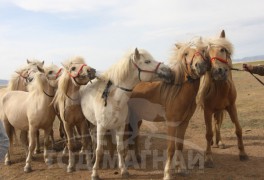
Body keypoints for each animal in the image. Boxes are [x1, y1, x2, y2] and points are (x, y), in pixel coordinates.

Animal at [79, 48, 172, 180]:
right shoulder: (101, 127)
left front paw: (123, 170)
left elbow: (120, 148)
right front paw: (95, 173)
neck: (113, 99)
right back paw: (92, 159)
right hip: (89, 123)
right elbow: (99, 150)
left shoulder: (120, 126)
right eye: (147, 61)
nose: (169, 71)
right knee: (92, 139)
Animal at [127, 39, 209, 180]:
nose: (201, 66)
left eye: (202, 51)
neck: (178, 92)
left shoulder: (184, 123)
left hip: (137, 117)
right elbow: (171, 148)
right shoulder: (171, 123)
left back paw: (137, 158)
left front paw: (181, 169)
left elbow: (179, 145)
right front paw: (167, 174)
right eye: (185, 53)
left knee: (135, 135)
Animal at [197, 29, 249, 167]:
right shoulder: (207, 110)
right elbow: (208, 133)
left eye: (223, 49)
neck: (220, 89)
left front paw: (242, 153)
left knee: (217, 124)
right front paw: (208, 158)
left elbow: (238, 129)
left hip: (220, 110)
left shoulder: (231, 107)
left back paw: (219, 142)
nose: (218, 71)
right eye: (207, 55)